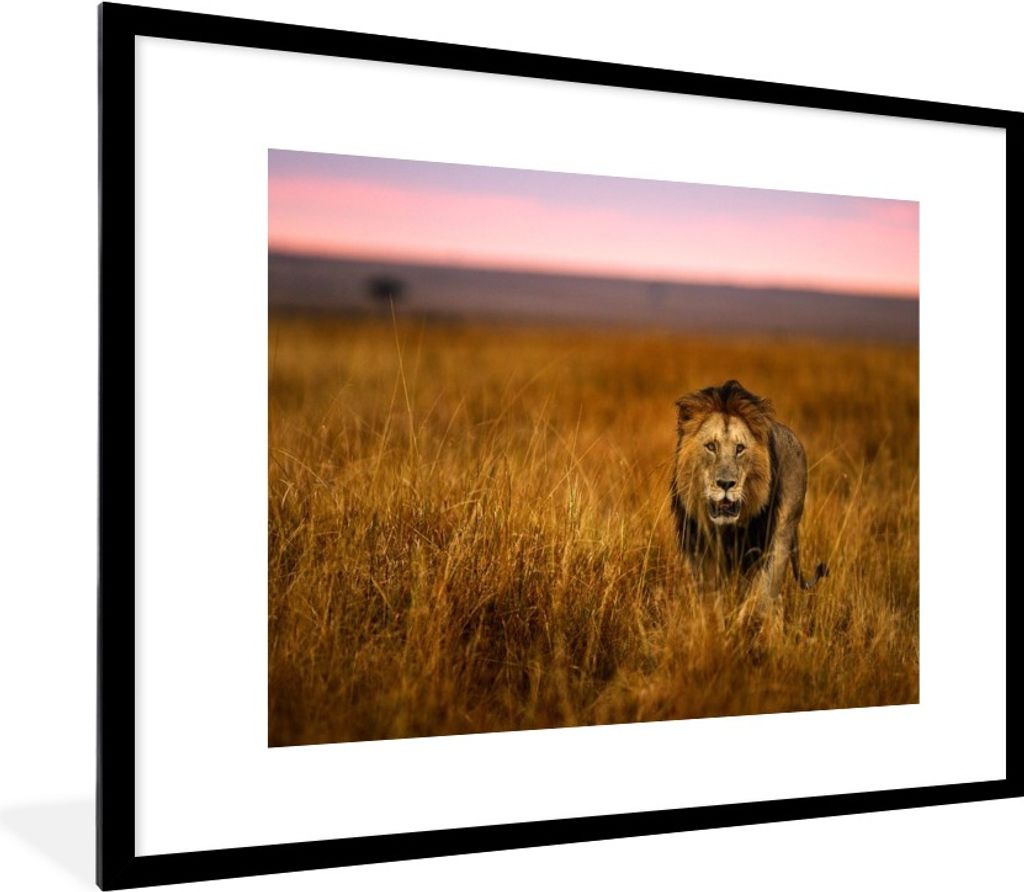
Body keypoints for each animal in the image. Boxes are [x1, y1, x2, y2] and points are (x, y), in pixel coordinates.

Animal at [670, 379, 827, 608]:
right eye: (711, 446)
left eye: (740, 448)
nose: (726, 483)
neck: (726, 530)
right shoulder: (702, 553)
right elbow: (711, 601)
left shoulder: (761, 549)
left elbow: (759, 596)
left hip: (784, 530)